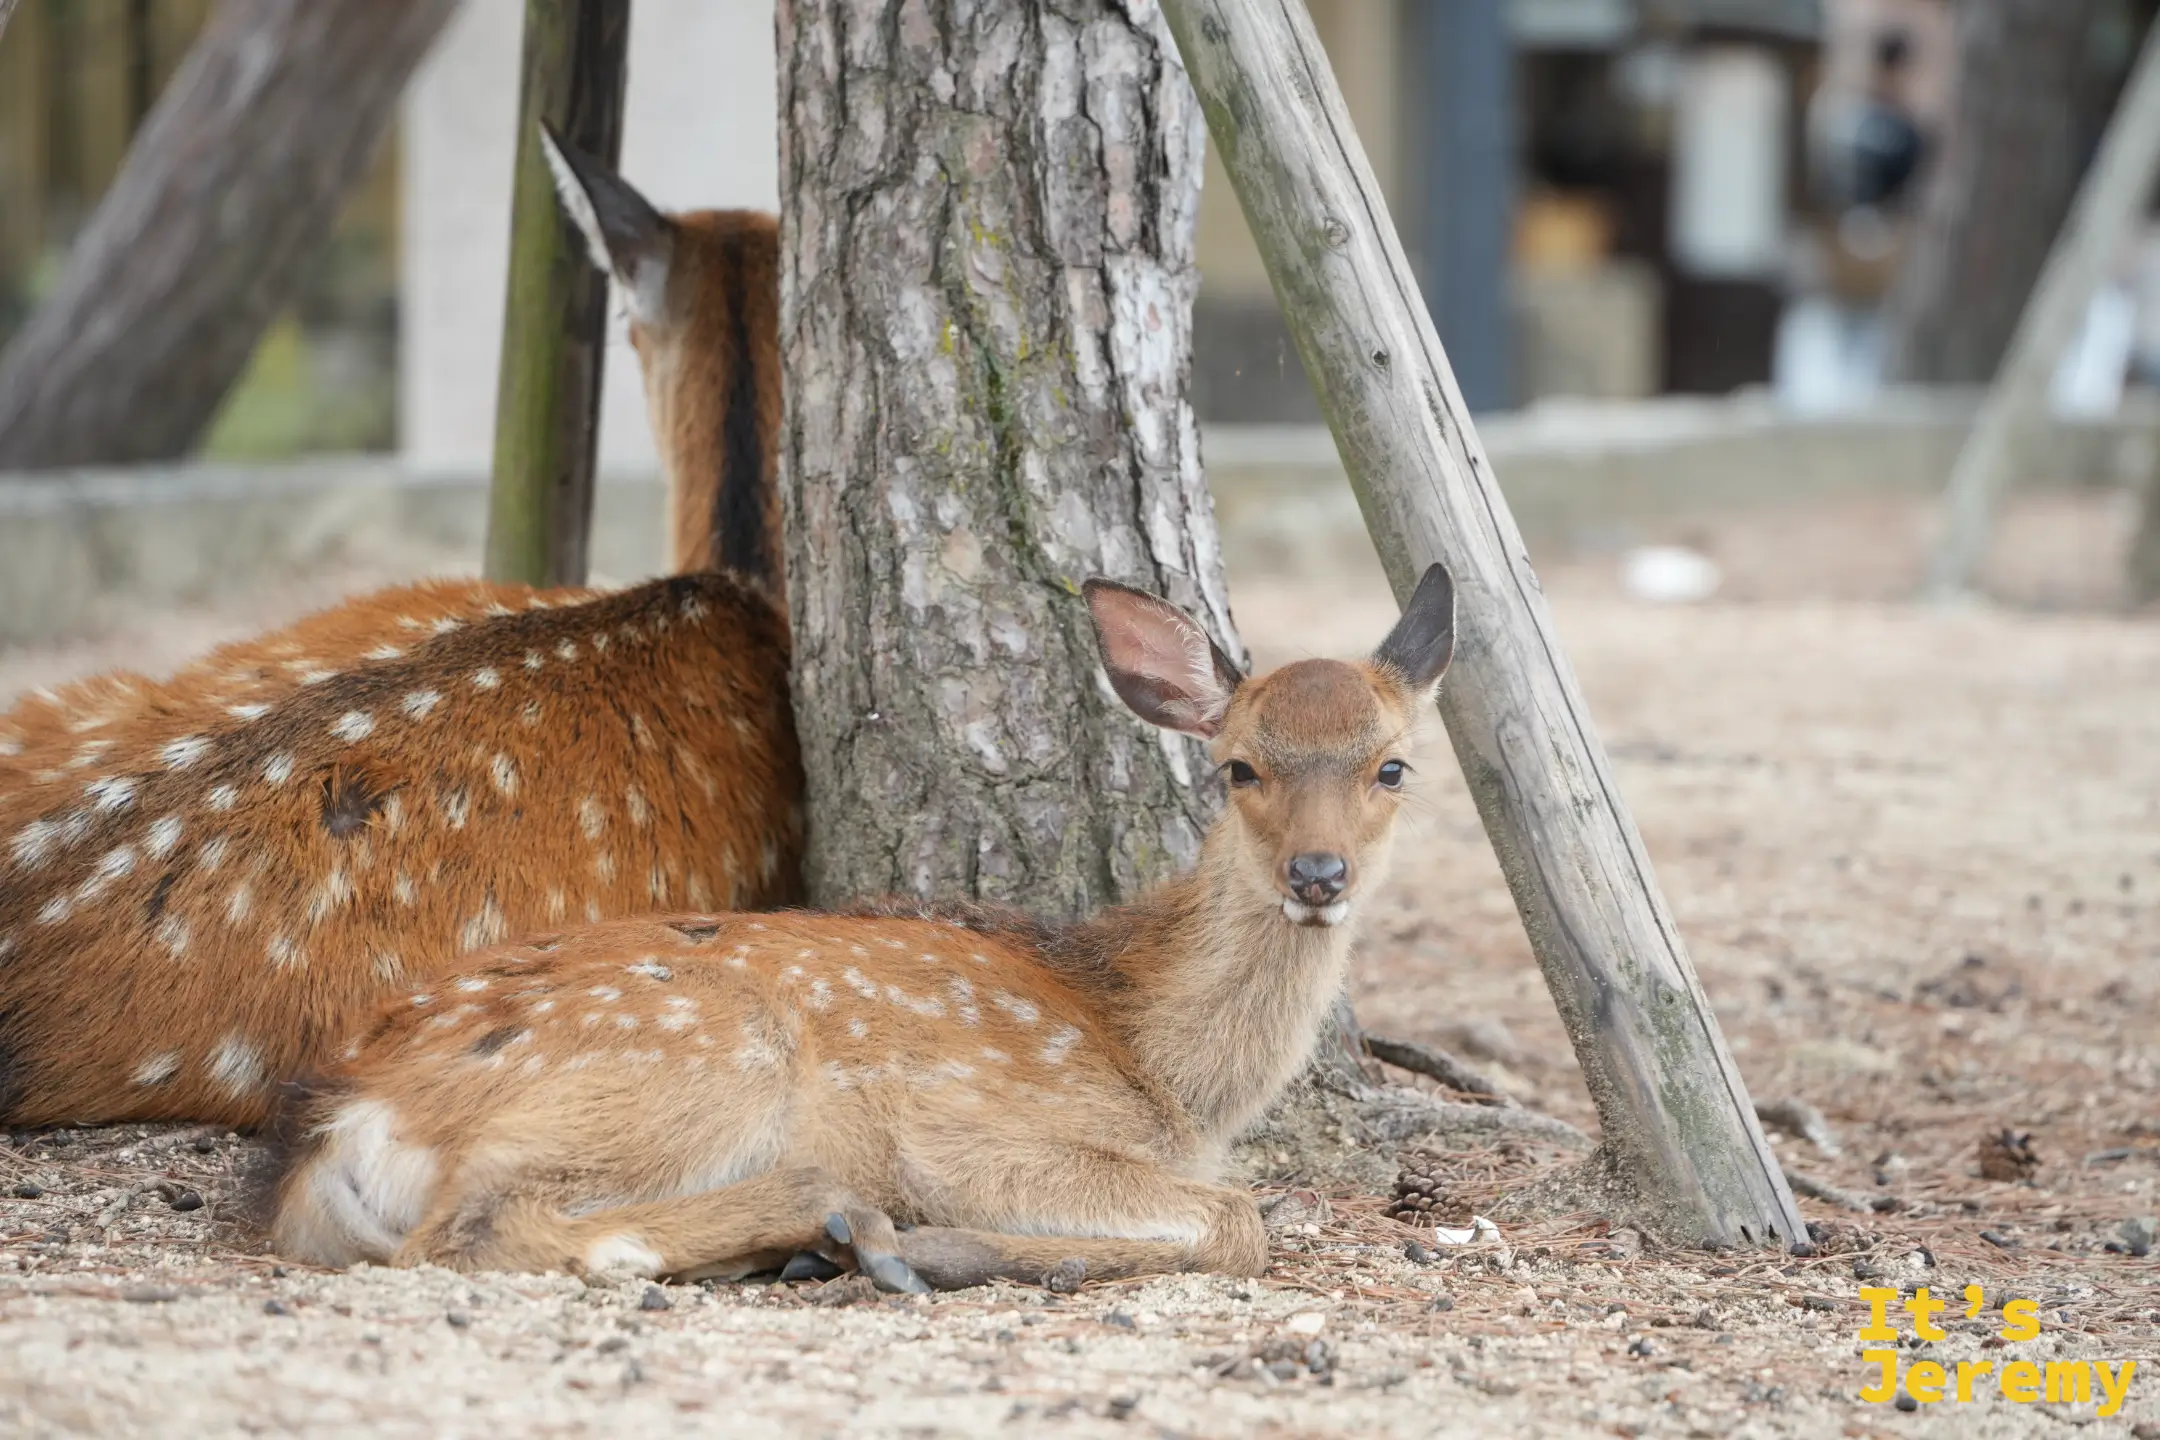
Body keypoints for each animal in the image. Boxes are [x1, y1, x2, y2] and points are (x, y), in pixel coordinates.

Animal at [263, 565, 1456, 1291]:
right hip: (695, 1061)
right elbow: (1237, 1218)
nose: (1317, 873)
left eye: (1391, 766)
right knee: (477, 1229)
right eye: (1240, 767)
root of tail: (349, 1119)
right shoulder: (971, 1121)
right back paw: (851, 1231)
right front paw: (957, 1242)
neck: (1154, 1052)